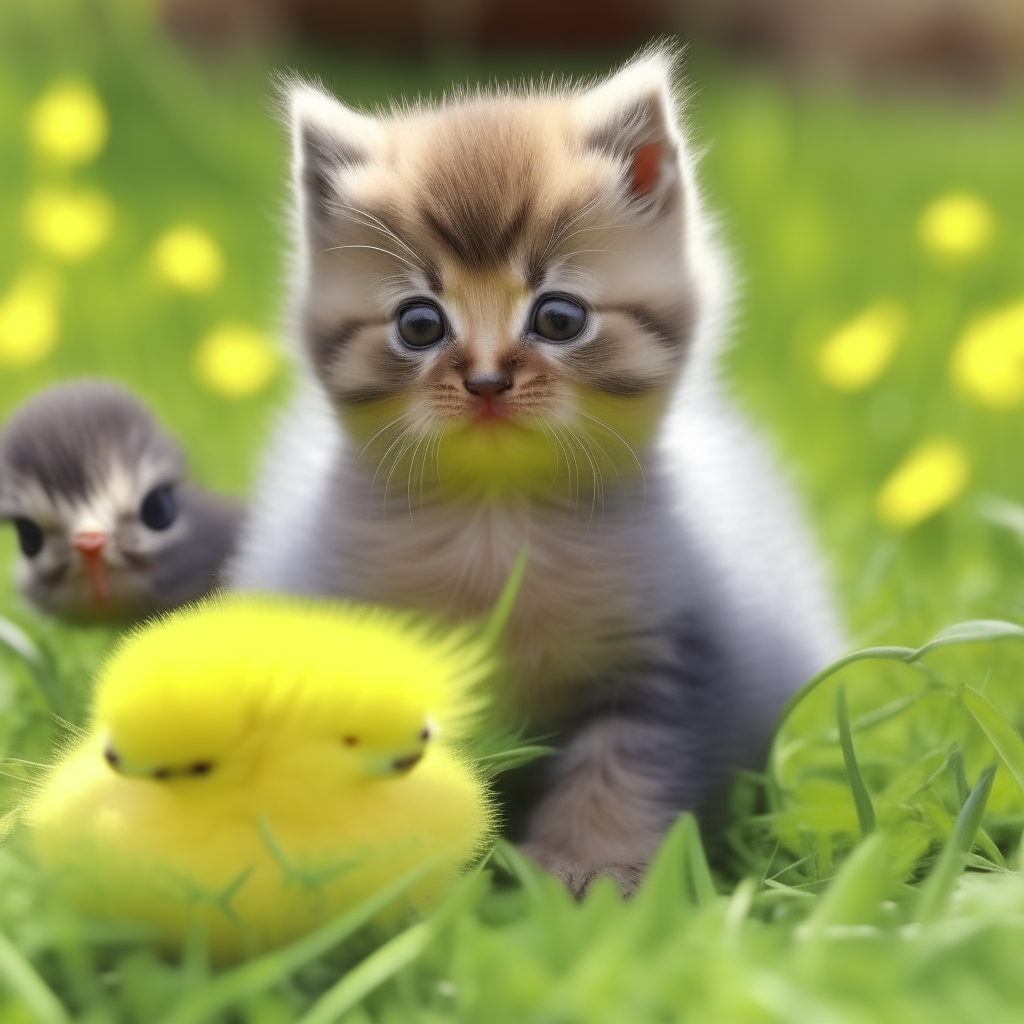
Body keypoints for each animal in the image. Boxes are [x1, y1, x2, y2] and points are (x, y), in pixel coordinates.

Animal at [232, 48, 839, 892]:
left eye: (558, 317)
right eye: (419, 324)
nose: (488, 381)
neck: (499, 518)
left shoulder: (667, 660)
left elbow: (624, 769)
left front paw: (590, 869)